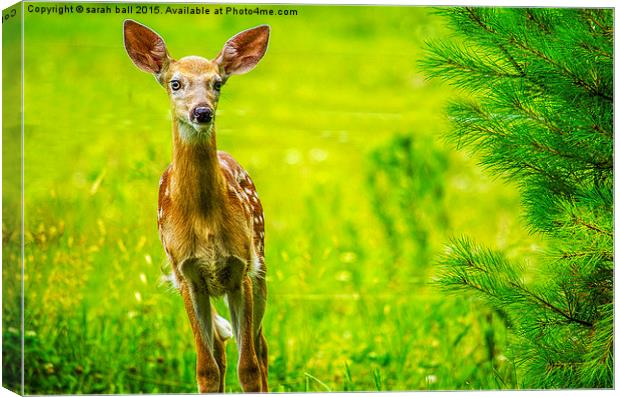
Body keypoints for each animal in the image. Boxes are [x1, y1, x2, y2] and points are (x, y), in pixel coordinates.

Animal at [124, 20, 272, 392]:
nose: (202, 112)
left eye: (217, 83)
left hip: (261, 267)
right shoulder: (186, 275)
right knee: (219, 348)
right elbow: (206, 368)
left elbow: (248, 367)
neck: (204, 219)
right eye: (175, 83)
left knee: (260, 347)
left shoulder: (241, 268)